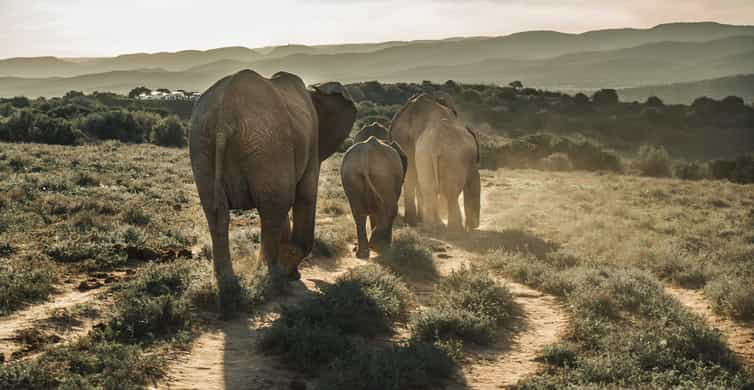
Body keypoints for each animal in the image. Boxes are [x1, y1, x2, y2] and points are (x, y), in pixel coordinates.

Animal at [187, 68, 354, 310]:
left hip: (204, 144)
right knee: (274, 209)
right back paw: (271, 280)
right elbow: (304, 196)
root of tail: (225, 115)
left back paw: (230, 287)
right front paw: (290, 273)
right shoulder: (311, 143)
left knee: (218, 214)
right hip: (268, 146)